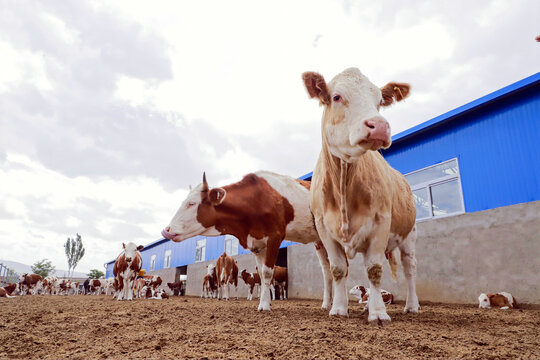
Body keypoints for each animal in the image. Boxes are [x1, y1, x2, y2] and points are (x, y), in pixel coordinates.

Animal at [161, 170, 334, 310]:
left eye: (192, 203)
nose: (166, 230)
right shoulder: (257, 245)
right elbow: (262, 274)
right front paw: (263, 303)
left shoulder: (275, 237)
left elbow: (267, 272)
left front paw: (264, 306)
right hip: (319, 241)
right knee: (327, 271)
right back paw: (327, 304)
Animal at [302, 66, 420, 324]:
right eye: (336, 96)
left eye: (380, 102)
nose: (380, 126)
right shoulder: (324, 229)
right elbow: (338, 270)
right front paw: (338, 308)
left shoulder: (381, 222)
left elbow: (374, 269)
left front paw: (378, 313)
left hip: (409, 235)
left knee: (410, 270)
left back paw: (411, 305)